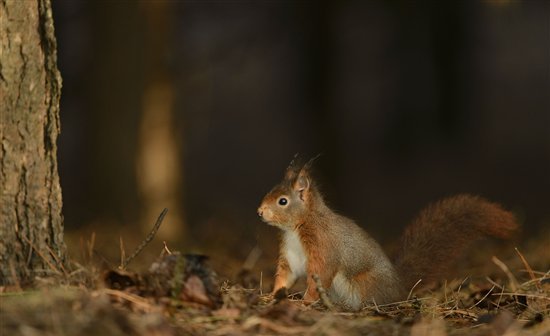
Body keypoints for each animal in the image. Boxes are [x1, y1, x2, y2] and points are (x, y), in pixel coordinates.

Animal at [256, 156, 520, 312]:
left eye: (282, 201)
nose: (259, 212)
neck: (296, 228)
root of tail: (398, 288)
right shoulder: (290, 256)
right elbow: (286, 276)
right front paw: (272, 296)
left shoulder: (323, 248)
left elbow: (320, 274)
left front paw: (305, 302)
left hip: (363, 283)